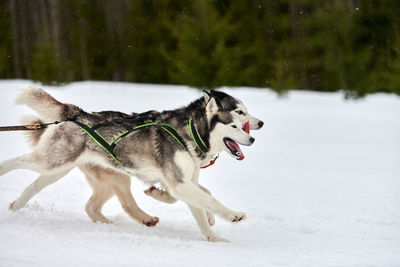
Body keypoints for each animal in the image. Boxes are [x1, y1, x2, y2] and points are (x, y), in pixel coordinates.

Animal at [0, 88, 264, 243]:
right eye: (236, 121)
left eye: (243, 119)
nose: (253, 137)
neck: (190, 131)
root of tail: (78, 114)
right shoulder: (179, 183)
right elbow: (209, 198)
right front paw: (232, 216)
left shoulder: (185, 182)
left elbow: (201, 204)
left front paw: (214, 238)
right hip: (53, 162)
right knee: (17, 162)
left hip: (60, 170)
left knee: (42, 190)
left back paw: (15, 207)